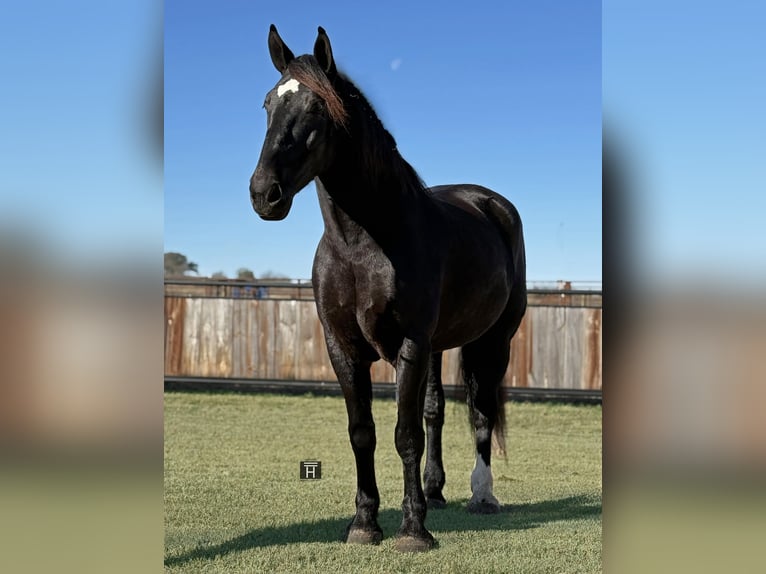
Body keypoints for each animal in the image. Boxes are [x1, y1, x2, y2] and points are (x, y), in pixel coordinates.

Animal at [249, 25, 526, 552]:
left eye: (317, 108)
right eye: (267, 104)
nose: (263, 193)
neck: (363, 244)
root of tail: (491, 203)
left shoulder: (409, 344)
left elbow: (405, 434)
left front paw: (413, 530)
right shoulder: (343, 347)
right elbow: (365, 431)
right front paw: (364, 523)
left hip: (492, 340)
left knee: (481, 411)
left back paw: (482, 495)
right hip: (441, 346)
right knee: (437, 411)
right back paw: (436, 491)